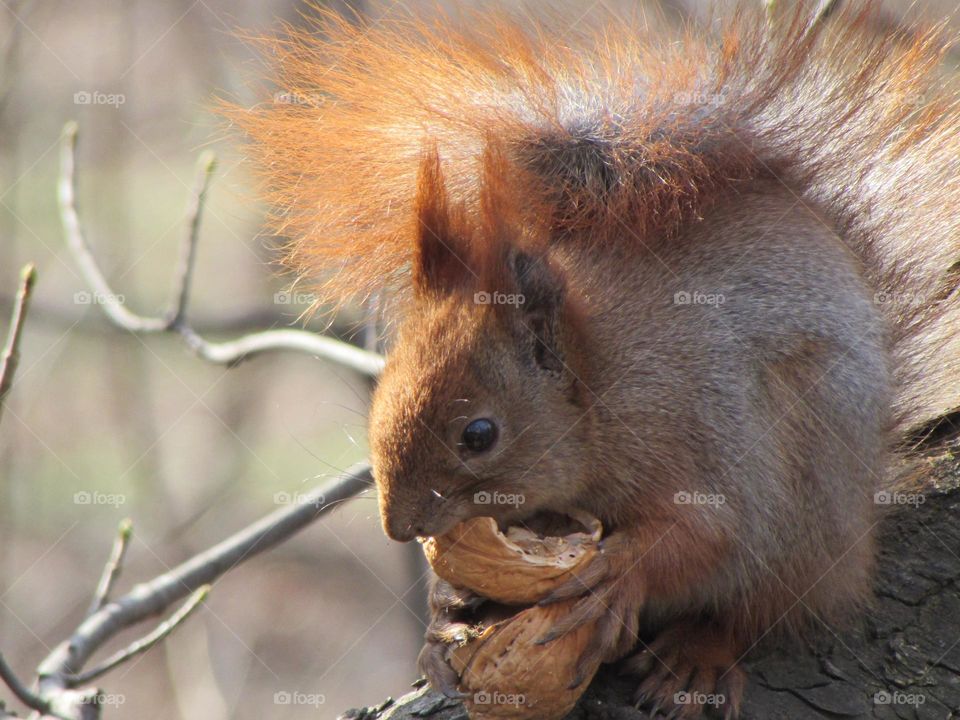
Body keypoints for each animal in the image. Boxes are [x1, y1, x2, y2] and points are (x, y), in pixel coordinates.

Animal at [229, 2, 960, 716]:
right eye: (378, 397)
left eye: (479, 434)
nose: (397, 527)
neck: (594, 385)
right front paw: (444, 610)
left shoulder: (695, 429)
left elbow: (708, 534)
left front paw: (618, 575)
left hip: (810, 496)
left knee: (761, 608)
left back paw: (695, 654)